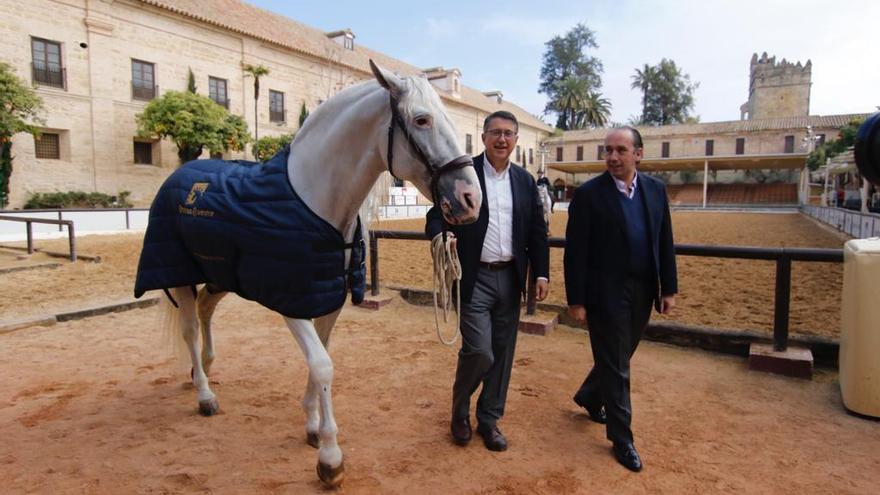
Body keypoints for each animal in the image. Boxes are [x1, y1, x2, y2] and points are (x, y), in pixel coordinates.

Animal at [138, 62, 482, 488]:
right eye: (422, 119)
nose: (471, 199)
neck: (315, 202)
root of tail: (178, 175)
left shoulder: (327, 297)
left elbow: (322, 357)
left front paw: (313, 426)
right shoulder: (293, 302)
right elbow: (322, 365)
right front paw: (330, 458)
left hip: (219, 276)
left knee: (205, 310)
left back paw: (203, 366)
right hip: (178, 276)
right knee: (188, 327)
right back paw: (204, 394)